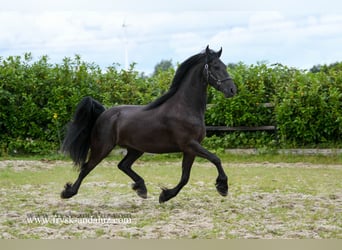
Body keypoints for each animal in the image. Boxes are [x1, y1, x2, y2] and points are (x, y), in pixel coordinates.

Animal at [61, 46, 236, 203]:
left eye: (225, 66)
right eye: (216, 67)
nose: (232, 90)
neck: (184, 108)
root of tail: (104, 114)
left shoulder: (190, 149)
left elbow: (185, 177)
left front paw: (165, 195)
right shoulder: (190, 144)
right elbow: (215, 159)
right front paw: (223, 187)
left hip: (135, 149)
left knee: (123, 165)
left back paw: (141, 189)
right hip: (102, 147)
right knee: (86, 167)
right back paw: (68, 192)